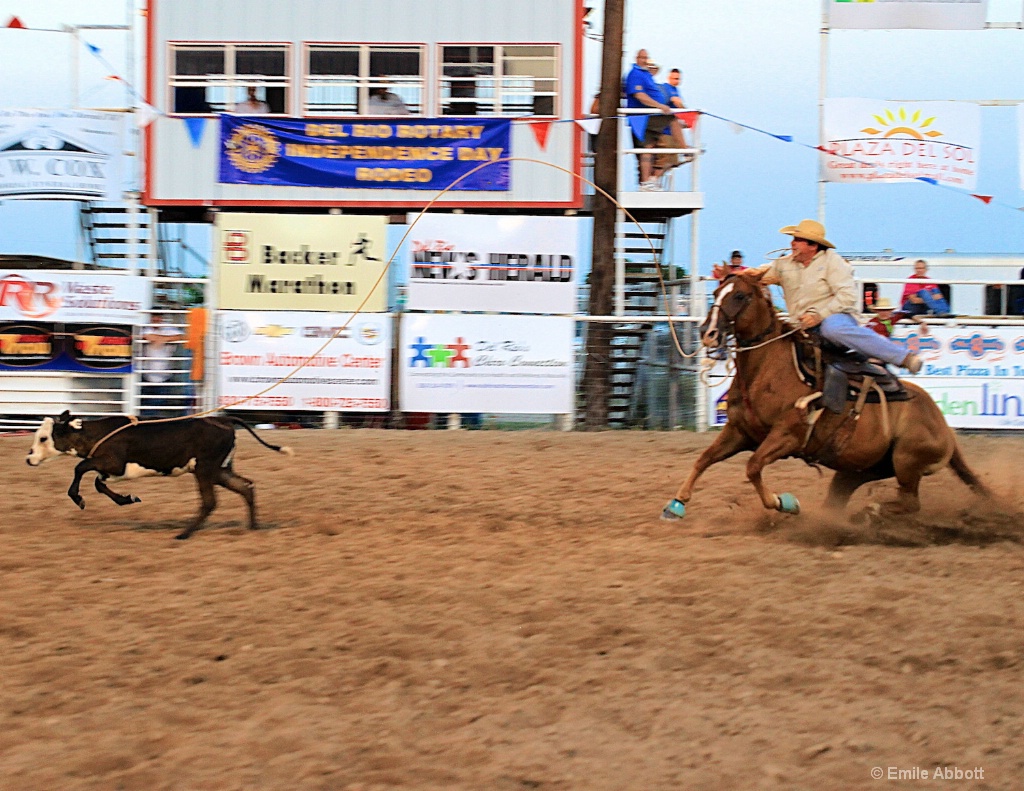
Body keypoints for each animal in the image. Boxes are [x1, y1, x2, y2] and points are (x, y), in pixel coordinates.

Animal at [24, 413, 296, 536]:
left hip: (205, 469)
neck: (95, 434)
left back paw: (184, 534)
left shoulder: (113, 463)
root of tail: (224, 420)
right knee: (245, 486)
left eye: (44, 438)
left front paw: (79, 499)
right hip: (219, 470)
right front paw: (129, 499)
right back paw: (253, 527)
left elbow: (80, 468)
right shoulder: (110, 470)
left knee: (210, 501)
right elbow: (99, 483)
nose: (28, 458)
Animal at [659, 268, 987, 522]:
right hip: (858, 469)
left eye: (739, 295)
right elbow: (704, 459)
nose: (708, 332)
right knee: (843, 499)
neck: (768, 368)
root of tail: (943, 425)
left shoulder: (787, 435)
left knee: (910, 502)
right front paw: (676, 505)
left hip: (907, 462)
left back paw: (870, 511)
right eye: (716, 292)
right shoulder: (740, 431)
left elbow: (752, 468)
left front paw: (784, 502)